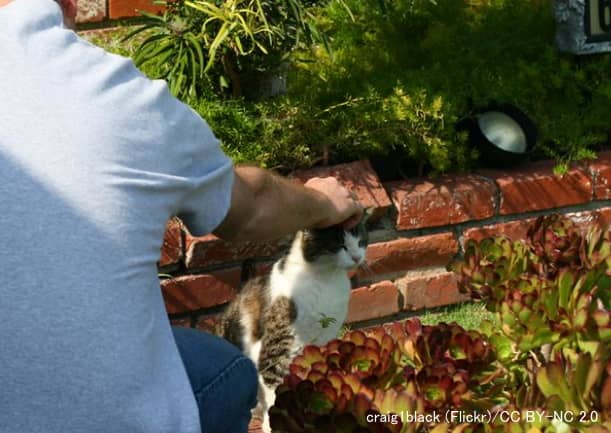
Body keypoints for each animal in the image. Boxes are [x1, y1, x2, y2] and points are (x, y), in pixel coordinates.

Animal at [222, 218, 370, 430]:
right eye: (340, 244)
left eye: (361, 242)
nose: (357, 257)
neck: (325, 279)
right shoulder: (275, 346)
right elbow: (274, 386)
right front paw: (274, 424)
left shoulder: (325, 337)